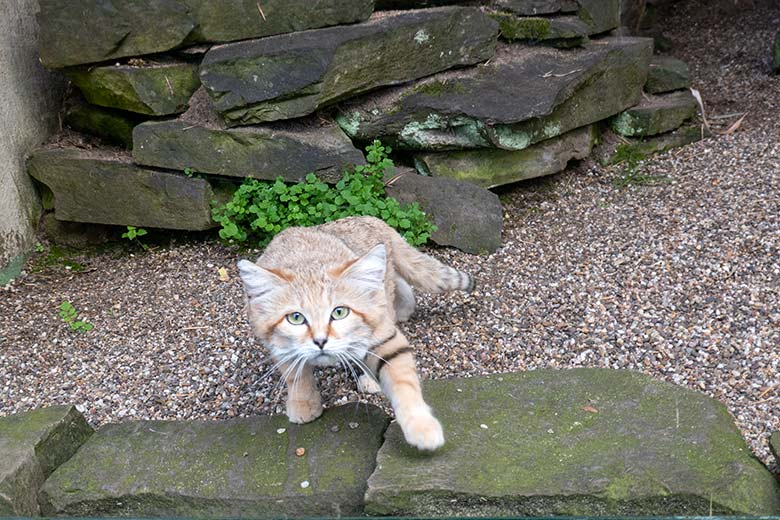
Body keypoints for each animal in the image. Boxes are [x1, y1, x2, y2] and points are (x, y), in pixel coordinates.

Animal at [236, 215, 470, 450]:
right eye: (296, 318)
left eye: (340, 312)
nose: (320, 341)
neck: (307, 262)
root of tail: (371, 218)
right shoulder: (279, 346)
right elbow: (297, 376)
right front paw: (303, 403)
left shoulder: (385, 337)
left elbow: (403, 382)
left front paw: (421, 426)